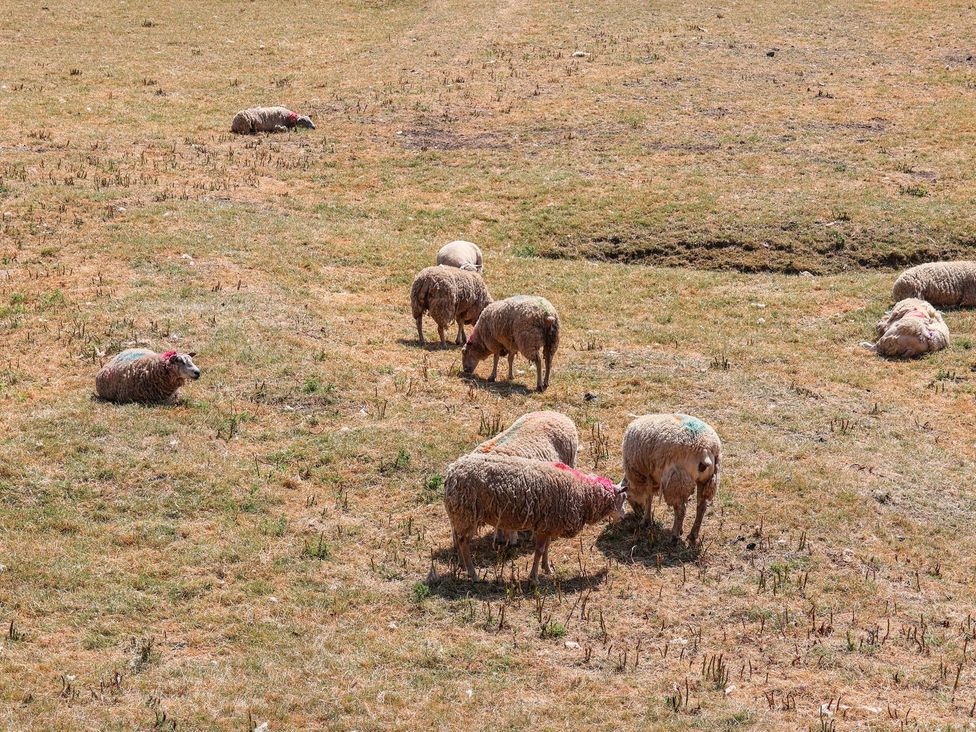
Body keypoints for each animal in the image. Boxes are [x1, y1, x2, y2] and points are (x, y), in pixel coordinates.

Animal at [442, 452, 624, 584]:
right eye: (622, 499)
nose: (622, 518)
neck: (583, 493)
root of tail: (451, 472)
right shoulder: (545, 525)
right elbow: (539, 550)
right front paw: (534, 577)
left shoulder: (549, 524)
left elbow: (547, 548)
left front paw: (547, 568)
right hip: (467, 515)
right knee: (464, 542)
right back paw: (473, 574)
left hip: (460, 515)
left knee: (458, 539)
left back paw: (463, 567)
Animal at [620, 412, 720, 544]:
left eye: (627, 497)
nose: (637, 514)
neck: (635, 481)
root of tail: (705, 449)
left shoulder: (647, 475)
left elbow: (648, 497)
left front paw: (645, 521)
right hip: (705, 480)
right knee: (701, 507)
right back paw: (692, 535)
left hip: (677, 480)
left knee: (682, 510)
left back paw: (674, 536)